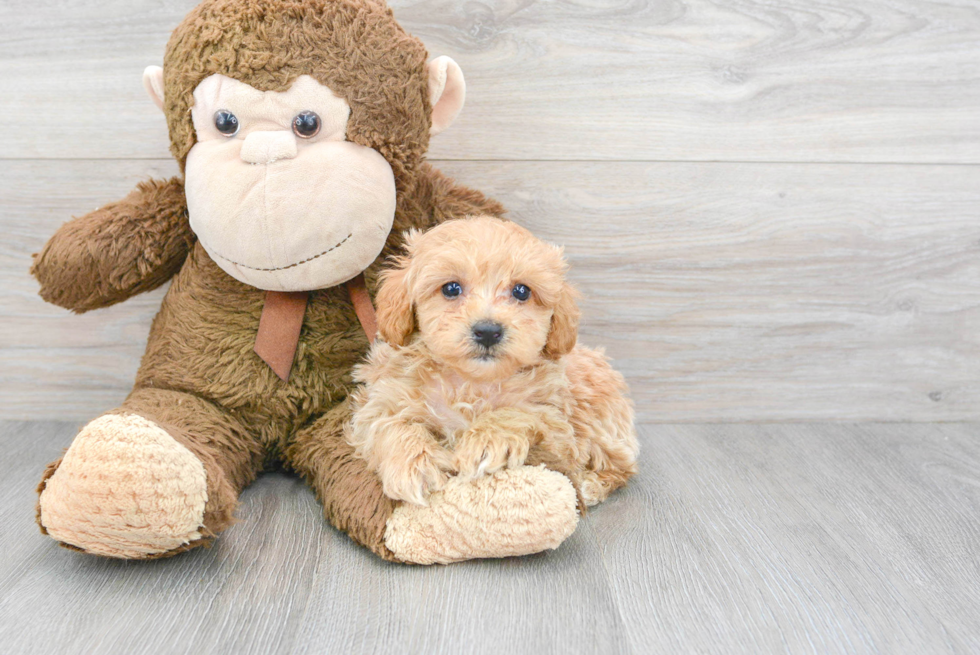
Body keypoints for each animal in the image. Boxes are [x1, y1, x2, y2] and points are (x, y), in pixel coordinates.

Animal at [348, 215, 640, 508]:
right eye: (451, 288)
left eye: (521, 291)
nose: (488, 331)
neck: (472, 381)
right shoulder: (382, 397)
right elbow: (388, 423)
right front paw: (415, 465)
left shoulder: (558, 426)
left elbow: (520, 413)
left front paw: (484, 442)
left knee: (621, 464)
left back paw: (591, 485)